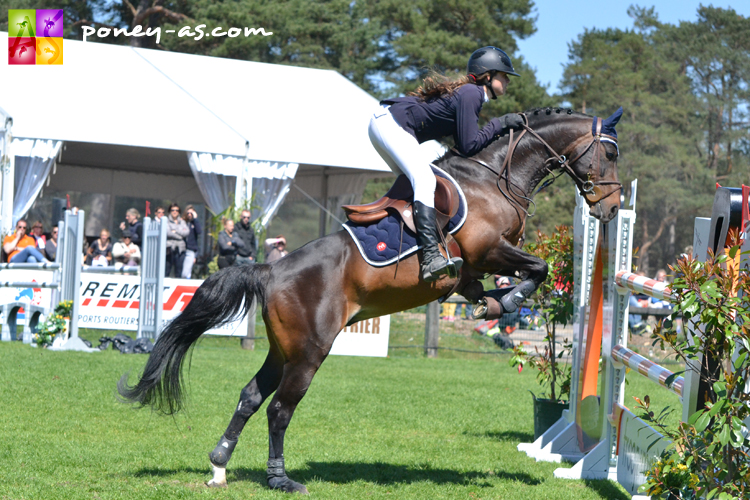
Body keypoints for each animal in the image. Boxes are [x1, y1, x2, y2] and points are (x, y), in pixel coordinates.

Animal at [119, 104, 624, 492]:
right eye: (610, 152)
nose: (613, 207)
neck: (494, 179)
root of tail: (271, 268)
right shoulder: (487, 251)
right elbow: (538, 269)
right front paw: (510, 301)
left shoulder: (472, 270)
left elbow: (496, 282)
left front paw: (495, 304)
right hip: (310, 351)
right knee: (280, 408)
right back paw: (280, 479)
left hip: (283, 349)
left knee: (250, 397)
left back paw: (220, 465)